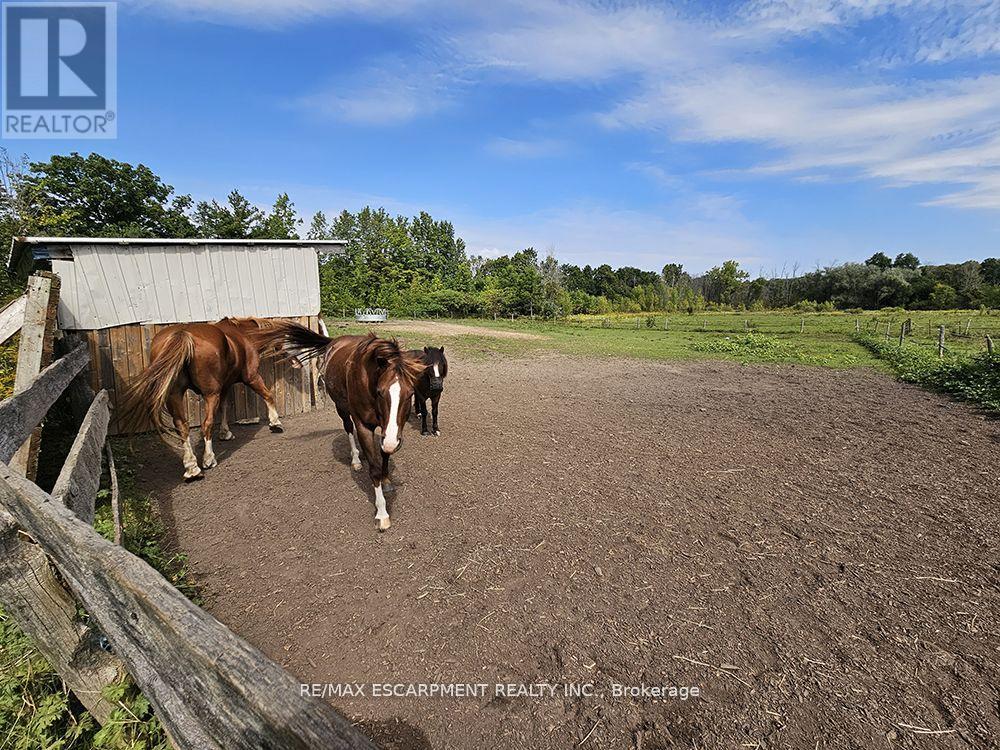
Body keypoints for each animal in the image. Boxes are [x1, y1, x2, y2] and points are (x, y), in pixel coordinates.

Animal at [124, 318, 284, 482]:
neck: (244, 335)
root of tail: (184, 333)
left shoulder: (224, 386)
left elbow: (224, 407)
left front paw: (225, 432)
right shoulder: (251, 377)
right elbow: (268, 395)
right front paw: (275, 422)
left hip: (175, 394)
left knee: (182, 426)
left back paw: (192, 468)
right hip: (210, 394)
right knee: (206, 423)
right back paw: (208, 459)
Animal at [254, 322, 426, 528]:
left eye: (410, 394)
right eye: (380, 392)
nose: (393, 441)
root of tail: (335, 342)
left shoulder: (388, 431)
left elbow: (384, 454)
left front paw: (386, 481)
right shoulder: (365, 426)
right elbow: (374, 469)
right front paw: (382, 513)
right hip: (342, 409)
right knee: (349, 429)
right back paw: (357, 460)